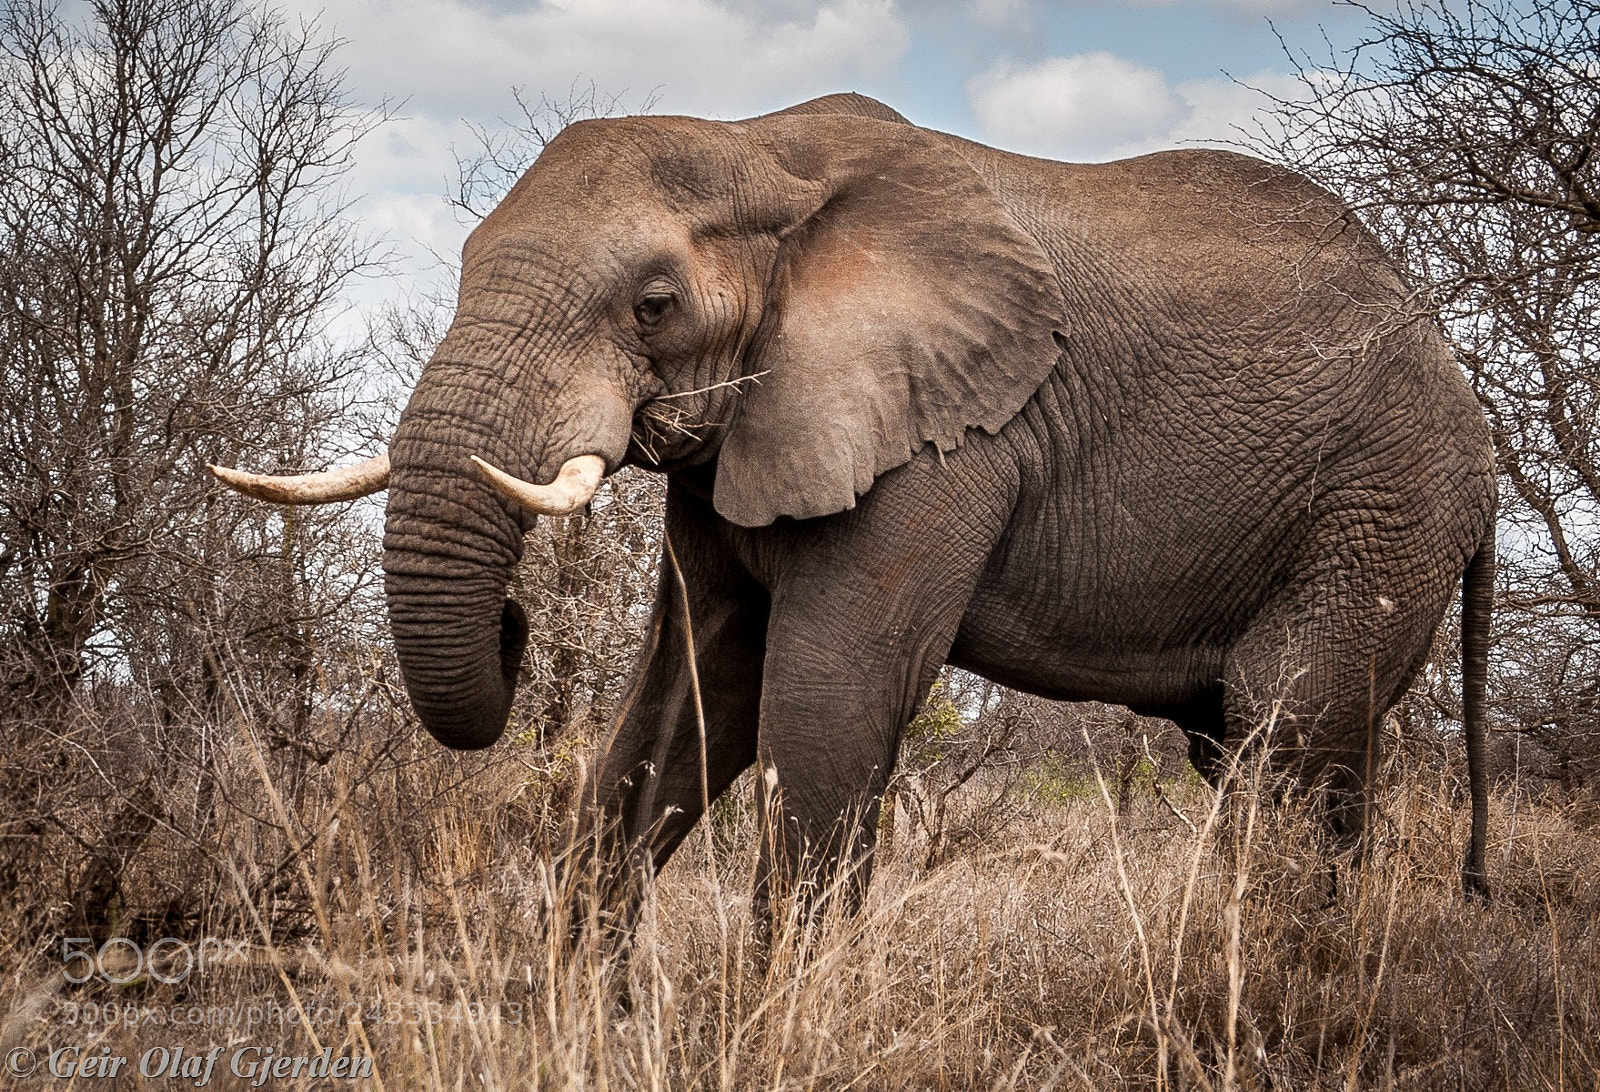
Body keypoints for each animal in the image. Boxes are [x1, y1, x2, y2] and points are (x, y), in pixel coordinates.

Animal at [211, 92, 1497, 920]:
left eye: (653, 304)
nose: (519, 625)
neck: (760, 149)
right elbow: (691, 697)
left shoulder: (943, 444)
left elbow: (824, 710)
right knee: (1274, 760)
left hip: (1378, 507)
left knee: (1287, 742)